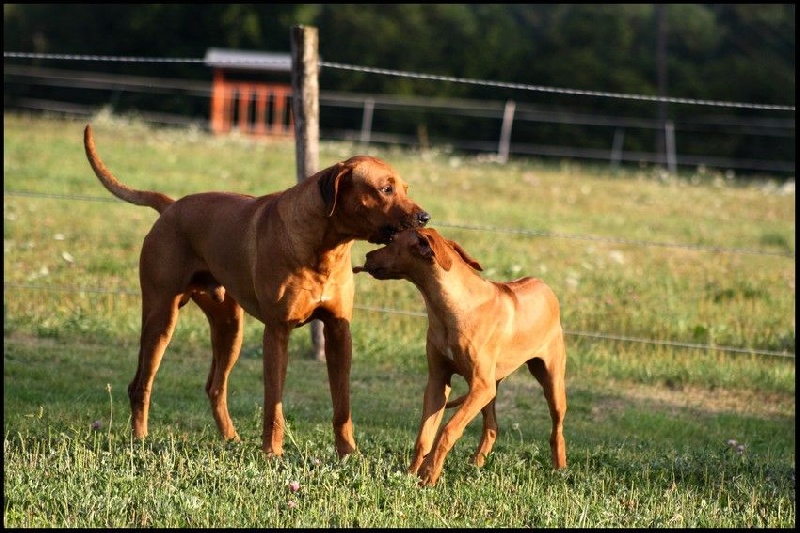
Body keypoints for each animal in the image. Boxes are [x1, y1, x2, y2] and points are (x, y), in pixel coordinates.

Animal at [83, 123, 432, 458]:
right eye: (385, 189)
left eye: (405, 189)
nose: (424, 217)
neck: (325, 248)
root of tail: (170, 207)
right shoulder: (277, 331)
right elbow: (273, 404)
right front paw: (272, 452)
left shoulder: (338, 331)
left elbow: (342, 404)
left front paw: (348, 453)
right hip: (161, 316)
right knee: (141, 384)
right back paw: (140, 438)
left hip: (229, 326)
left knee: (215, 386)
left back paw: (230, 438)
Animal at [354, 227, 564, 484]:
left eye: (392, 240)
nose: (367, 255)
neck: (452, 306)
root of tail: (544, 285)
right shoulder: (439, 381)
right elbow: (424, 435)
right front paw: (411, 474)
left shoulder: (480, 386)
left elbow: (448, 429)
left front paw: (429, 474)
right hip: (489, 388)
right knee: (491, 426)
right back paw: (475, 465)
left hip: (549, 381)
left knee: (556, 429)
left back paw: (560, 470)